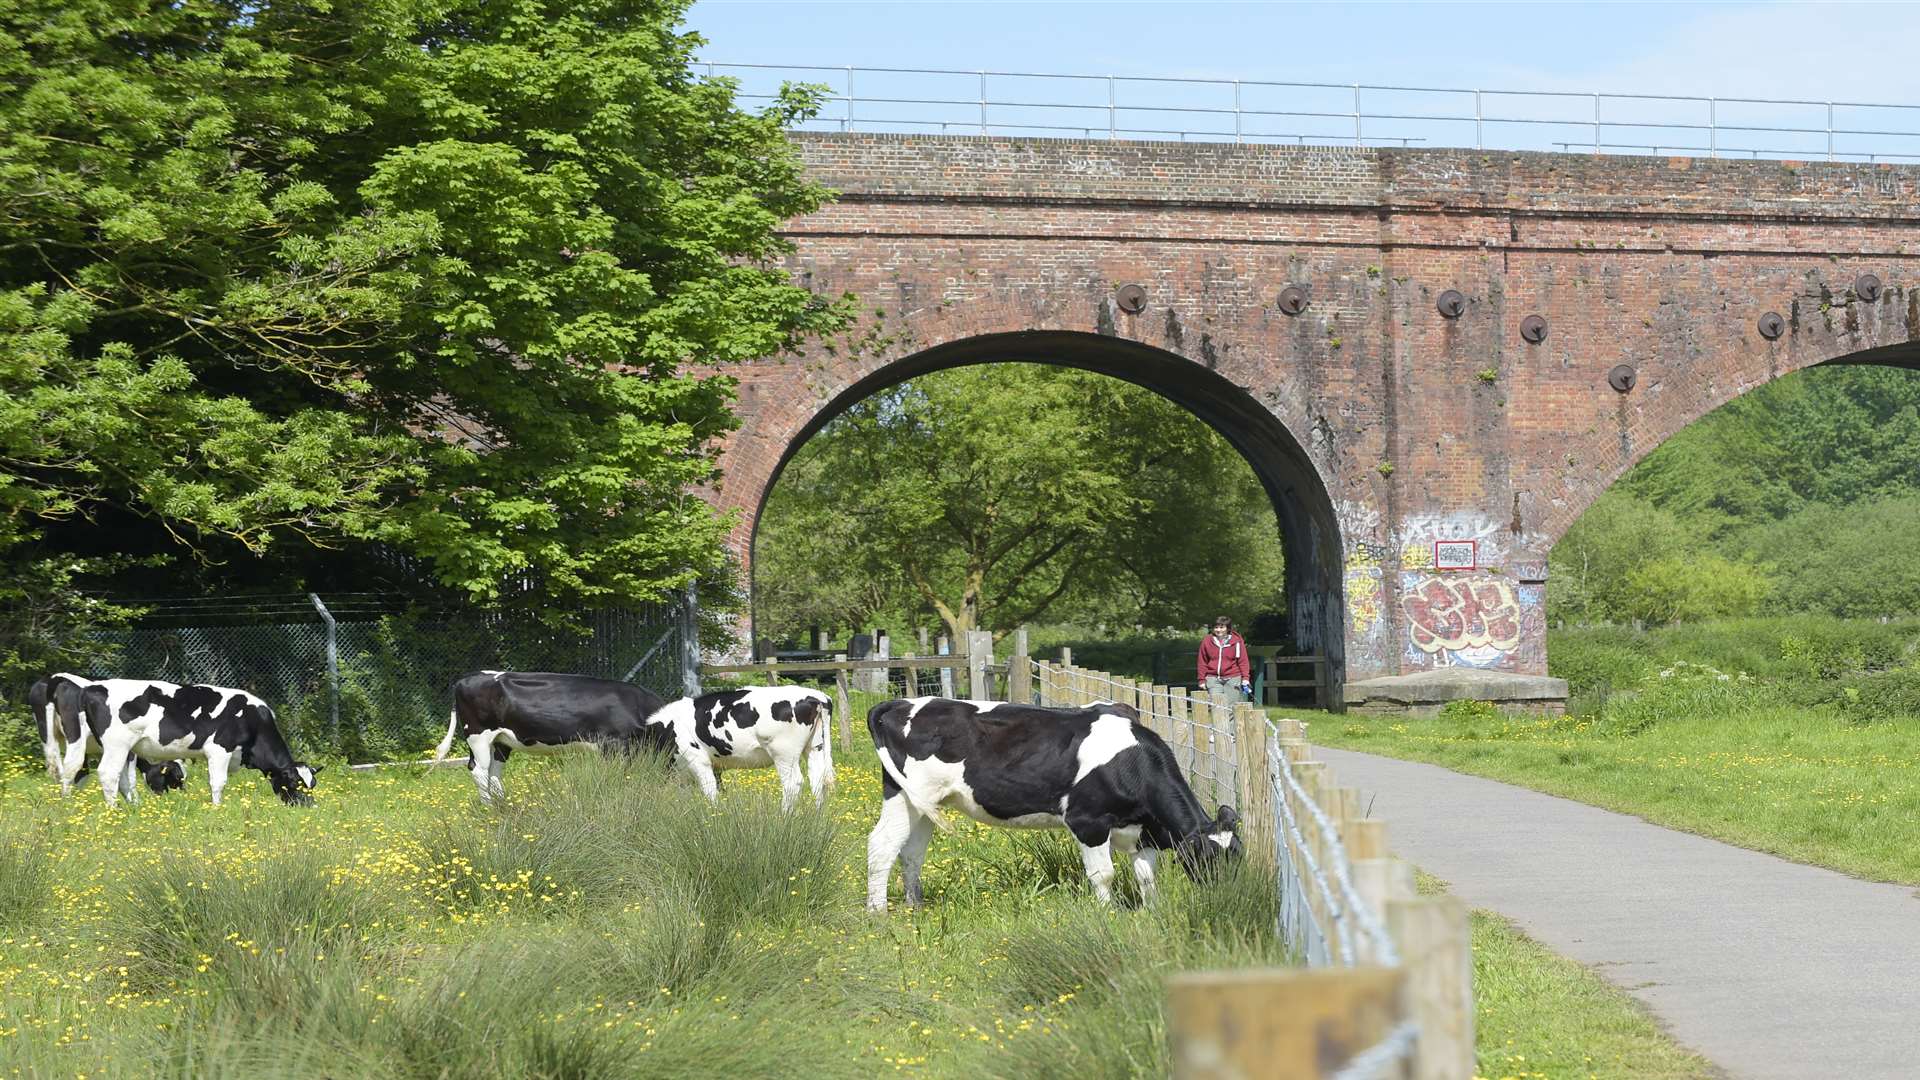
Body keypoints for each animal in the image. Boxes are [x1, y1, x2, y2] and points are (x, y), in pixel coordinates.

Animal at [28, 672, 186, 799]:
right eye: (175, 778)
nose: (180, 796)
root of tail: (56, 677)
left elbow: (85, 775)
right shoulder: (128, 748)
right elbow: (129, 778)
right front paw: (135, 803)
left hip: (48, 736)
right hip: (76, 735)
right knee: (71, 765)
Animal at [73, 676, 318, 803]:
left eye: (312, 784)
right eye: (294, 783)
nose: (308, 806)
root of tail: (92, 687)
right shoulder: (219, 750)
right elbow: (218, 782)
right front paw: (217, 808)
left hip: (127, 749)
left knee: (123, 779)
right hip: (116, 745)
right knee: (108, 774)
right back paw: (113, 810)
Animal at [648, 684, 837, 810]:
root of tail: (816, 697)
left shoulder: (697, 760)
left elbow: (709, 791)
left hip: (784, 753)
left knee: (793, 784)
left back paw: (784, 818)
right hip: (814, 747)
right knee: (817, 779)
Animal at [867, 691, 1244, 903]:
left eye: (1237, 857)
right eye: (1208, 859)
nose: (1230, 897)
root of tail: (903, 702)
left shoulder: (1144, 832)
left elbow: (1147, 877)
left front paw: (1153, 914)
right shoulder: (1087, 822)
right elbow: (1103, 875)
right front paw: (1108, 918)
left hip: (923, 804)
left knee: (911, 852)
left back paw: (915, 906)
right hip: (902, 794)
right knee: (881, 846)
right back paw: (879, 915)